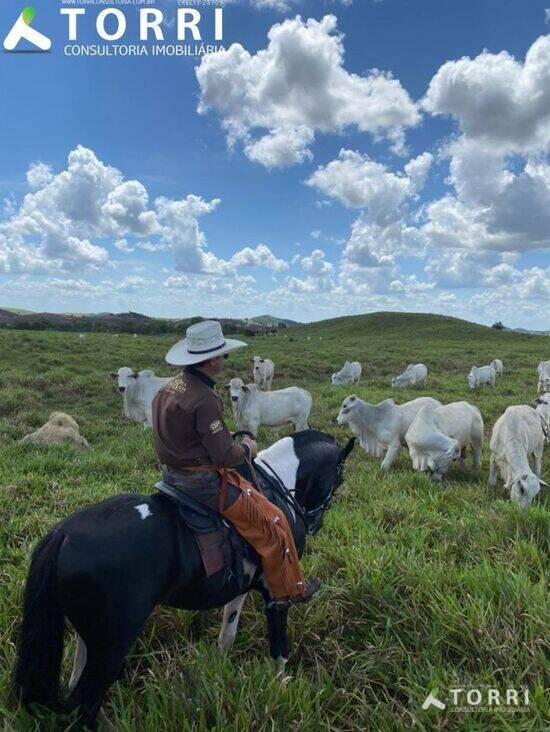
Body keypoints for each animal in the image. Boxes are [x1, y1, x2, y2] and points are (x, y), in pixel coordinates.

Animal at [16, 432, 358, 728]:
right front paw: (282, 687)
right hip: (113, 642)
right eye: (339, 478)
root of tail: (63, 534)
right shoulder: (276, 595)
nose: (314, 522)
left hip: (90, 635)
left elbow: (227, 633)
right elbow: (278, 648)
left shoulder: (241, 588)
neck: (276, 489)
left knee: (78, 688)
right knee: (86, 703)